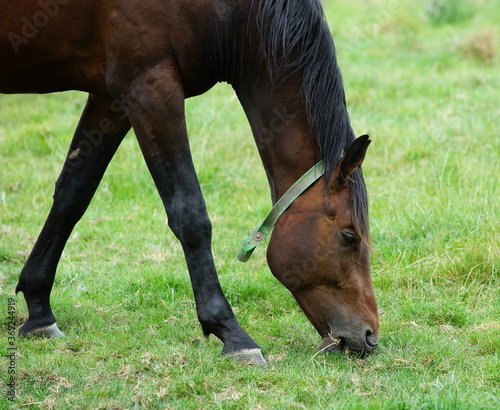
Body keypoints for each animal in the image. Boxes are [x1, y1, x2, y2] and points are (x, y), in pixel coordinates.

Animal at [0, 0, 378, 366]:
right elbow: (190, 215)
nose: (370, 336)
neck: (234, 13)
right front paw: (232, 334)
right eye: (349, 237)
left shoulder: (110, 99)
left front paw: (39, 310)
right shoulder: (150, 88)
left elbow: (72, 196)